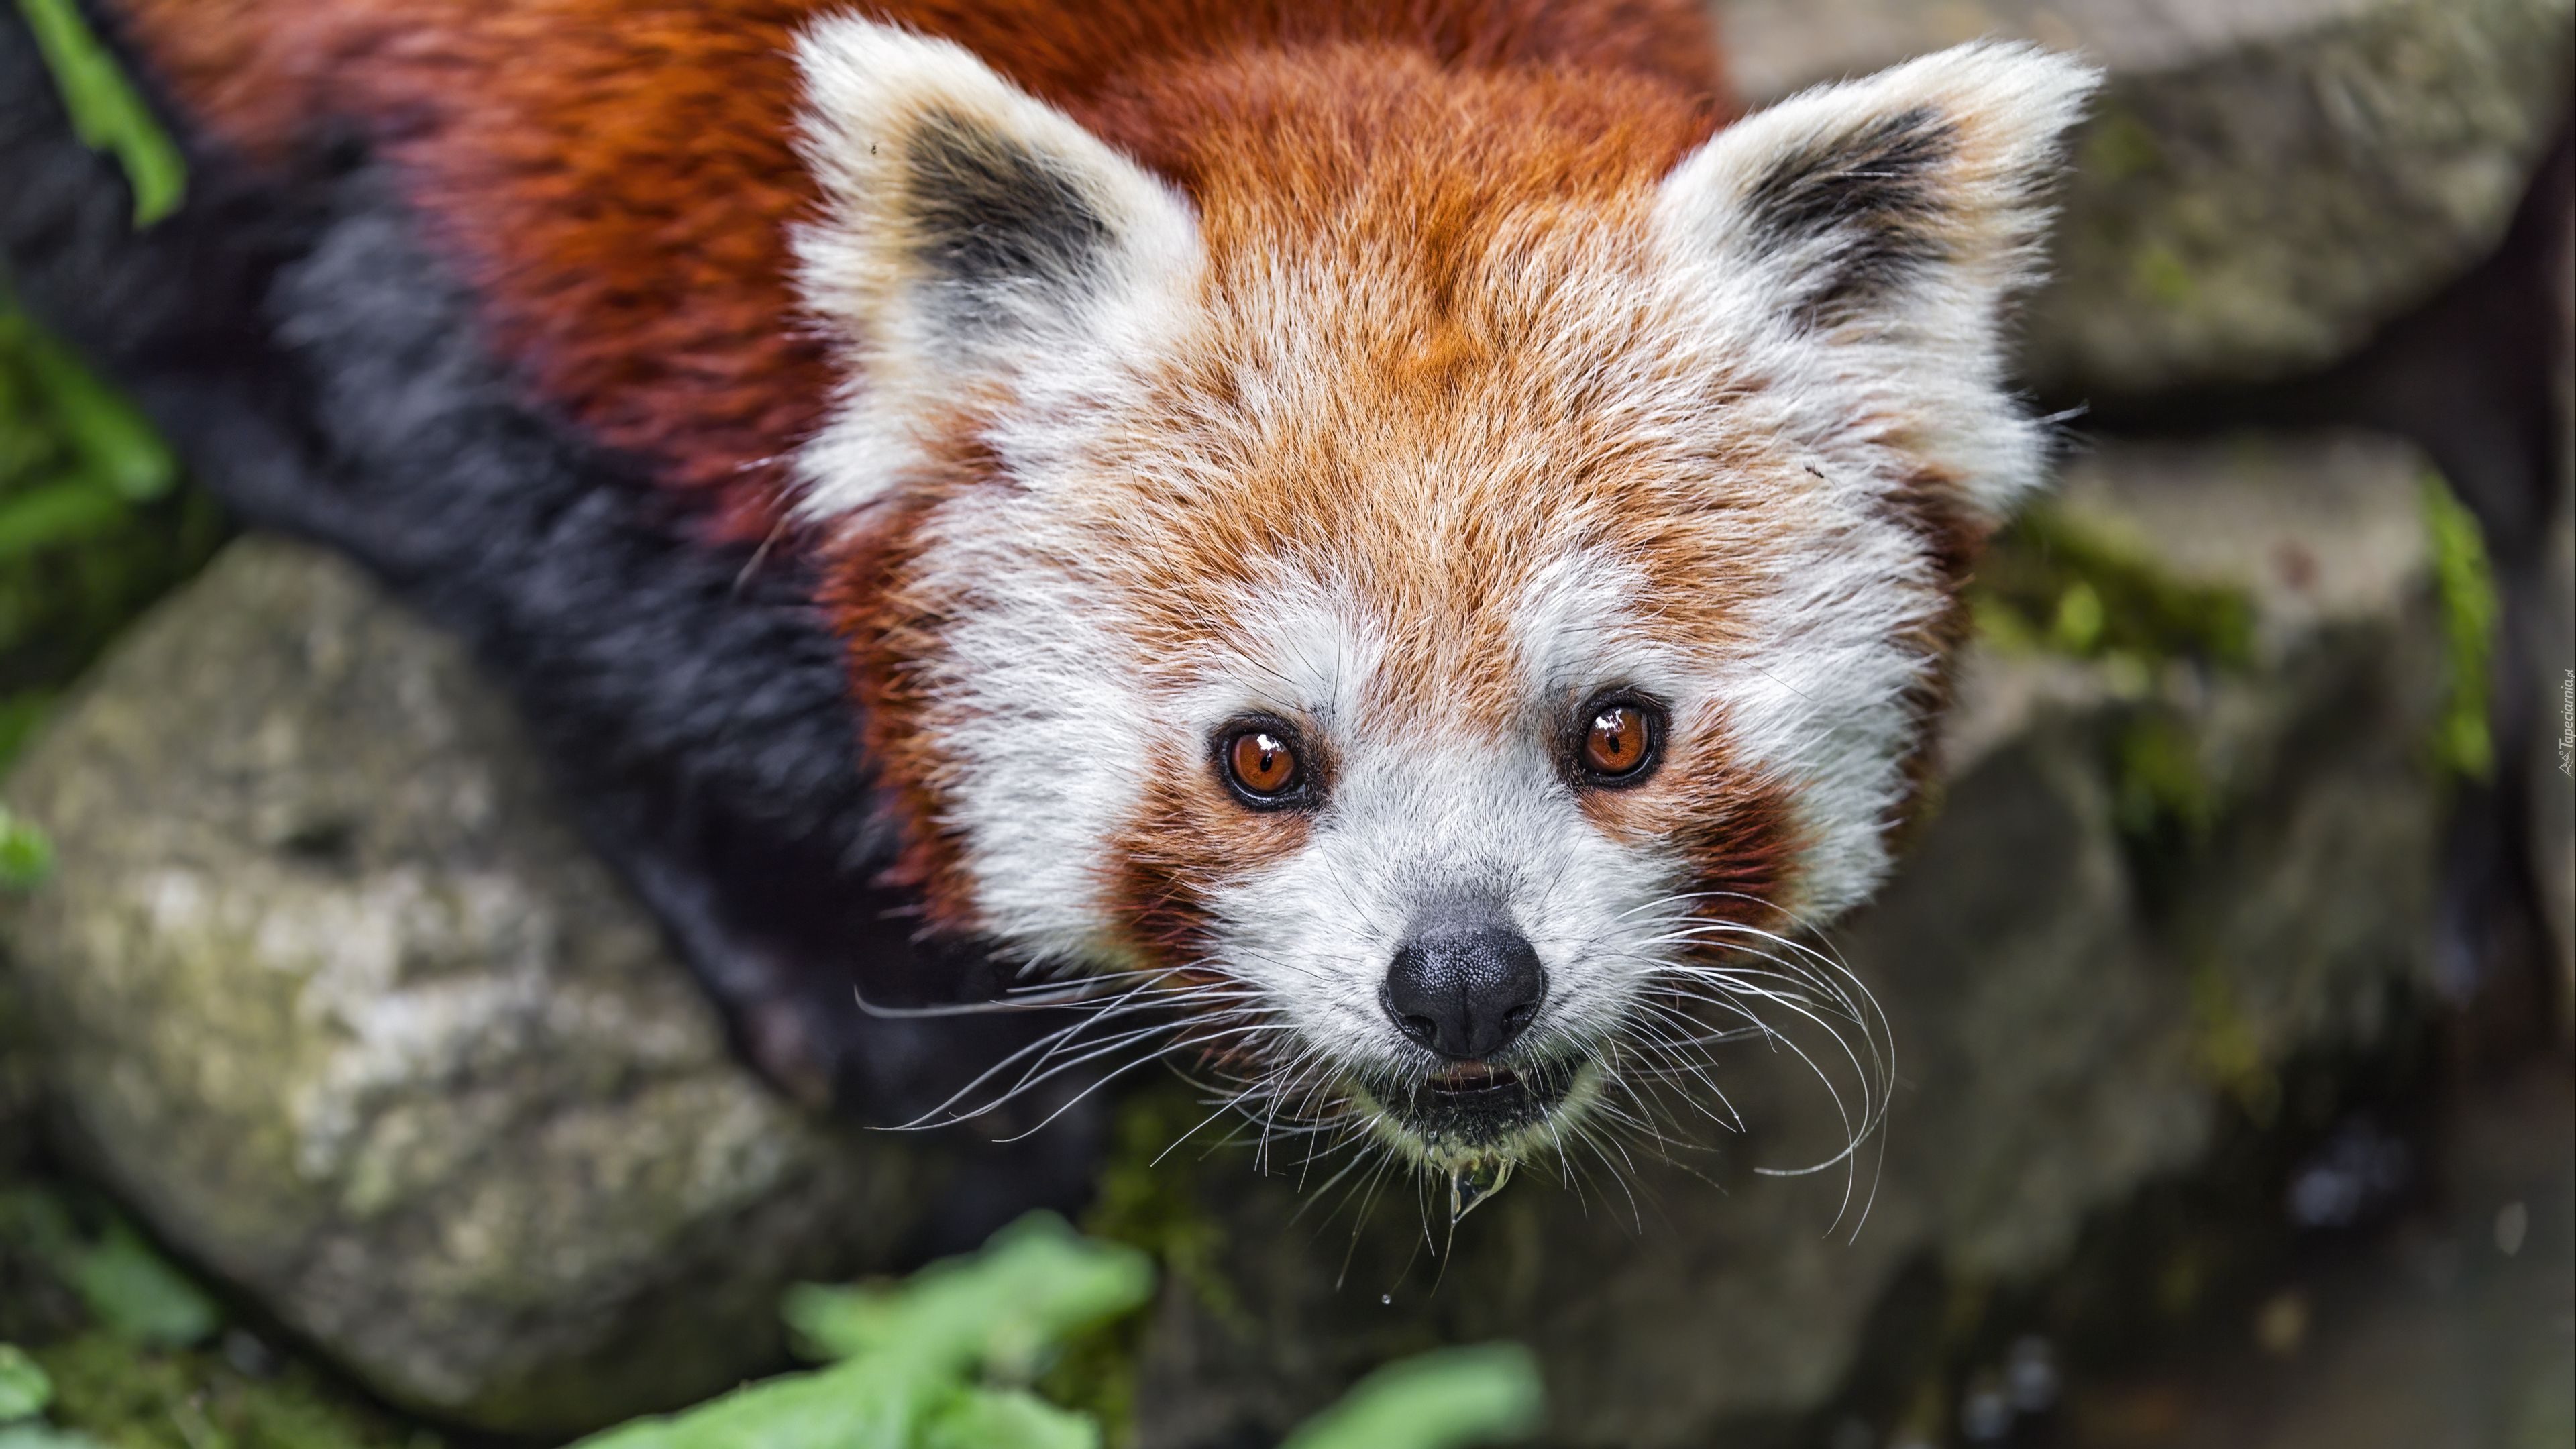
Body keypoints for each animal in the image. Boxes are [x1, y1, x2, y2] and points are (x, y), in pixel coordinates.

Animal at [0, 3, 2092, 1185]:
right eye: (1262, 756)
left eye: (1617, 733)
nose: (1461, 978)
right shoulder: (562, 253)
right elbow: (530, 548)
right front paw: (843, 968)